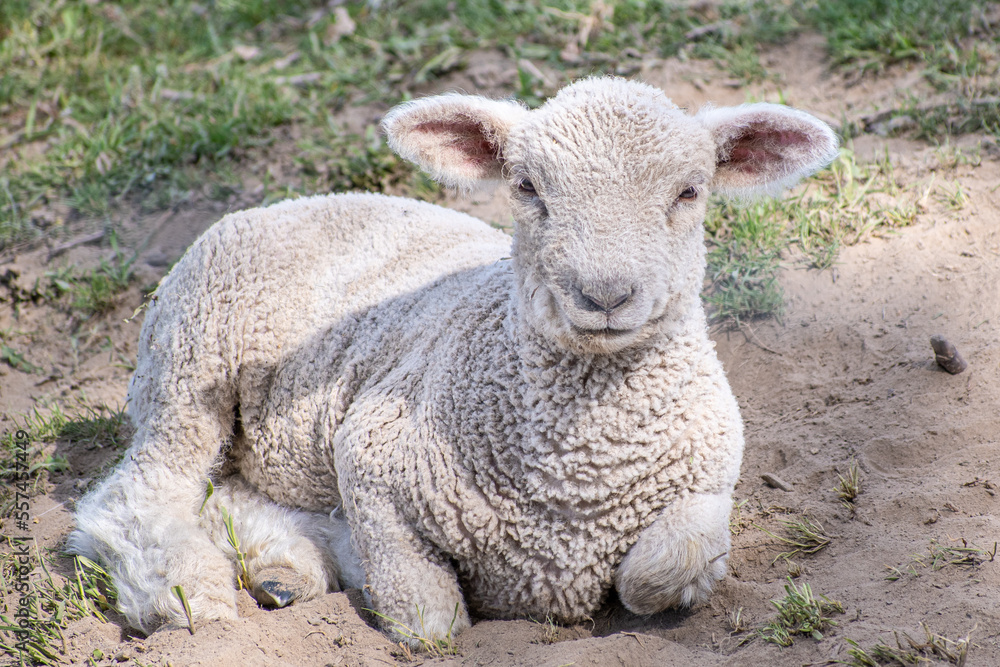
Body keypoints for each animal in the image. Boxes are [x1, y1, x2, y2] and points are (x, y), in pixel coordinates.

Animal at [69, 77, 837, 644]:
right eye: (527, 187)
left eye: (690, 191)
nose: (605, 294)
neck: (576, 479)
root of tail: (297, 199)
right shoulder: (370, 450)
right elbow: (429, 618)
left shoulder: (712, 479)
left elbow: (657, 570)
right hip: (191, 361)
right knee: (138, 493)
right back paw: (184, 592)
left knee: (226, 489)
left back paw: (280, 567)